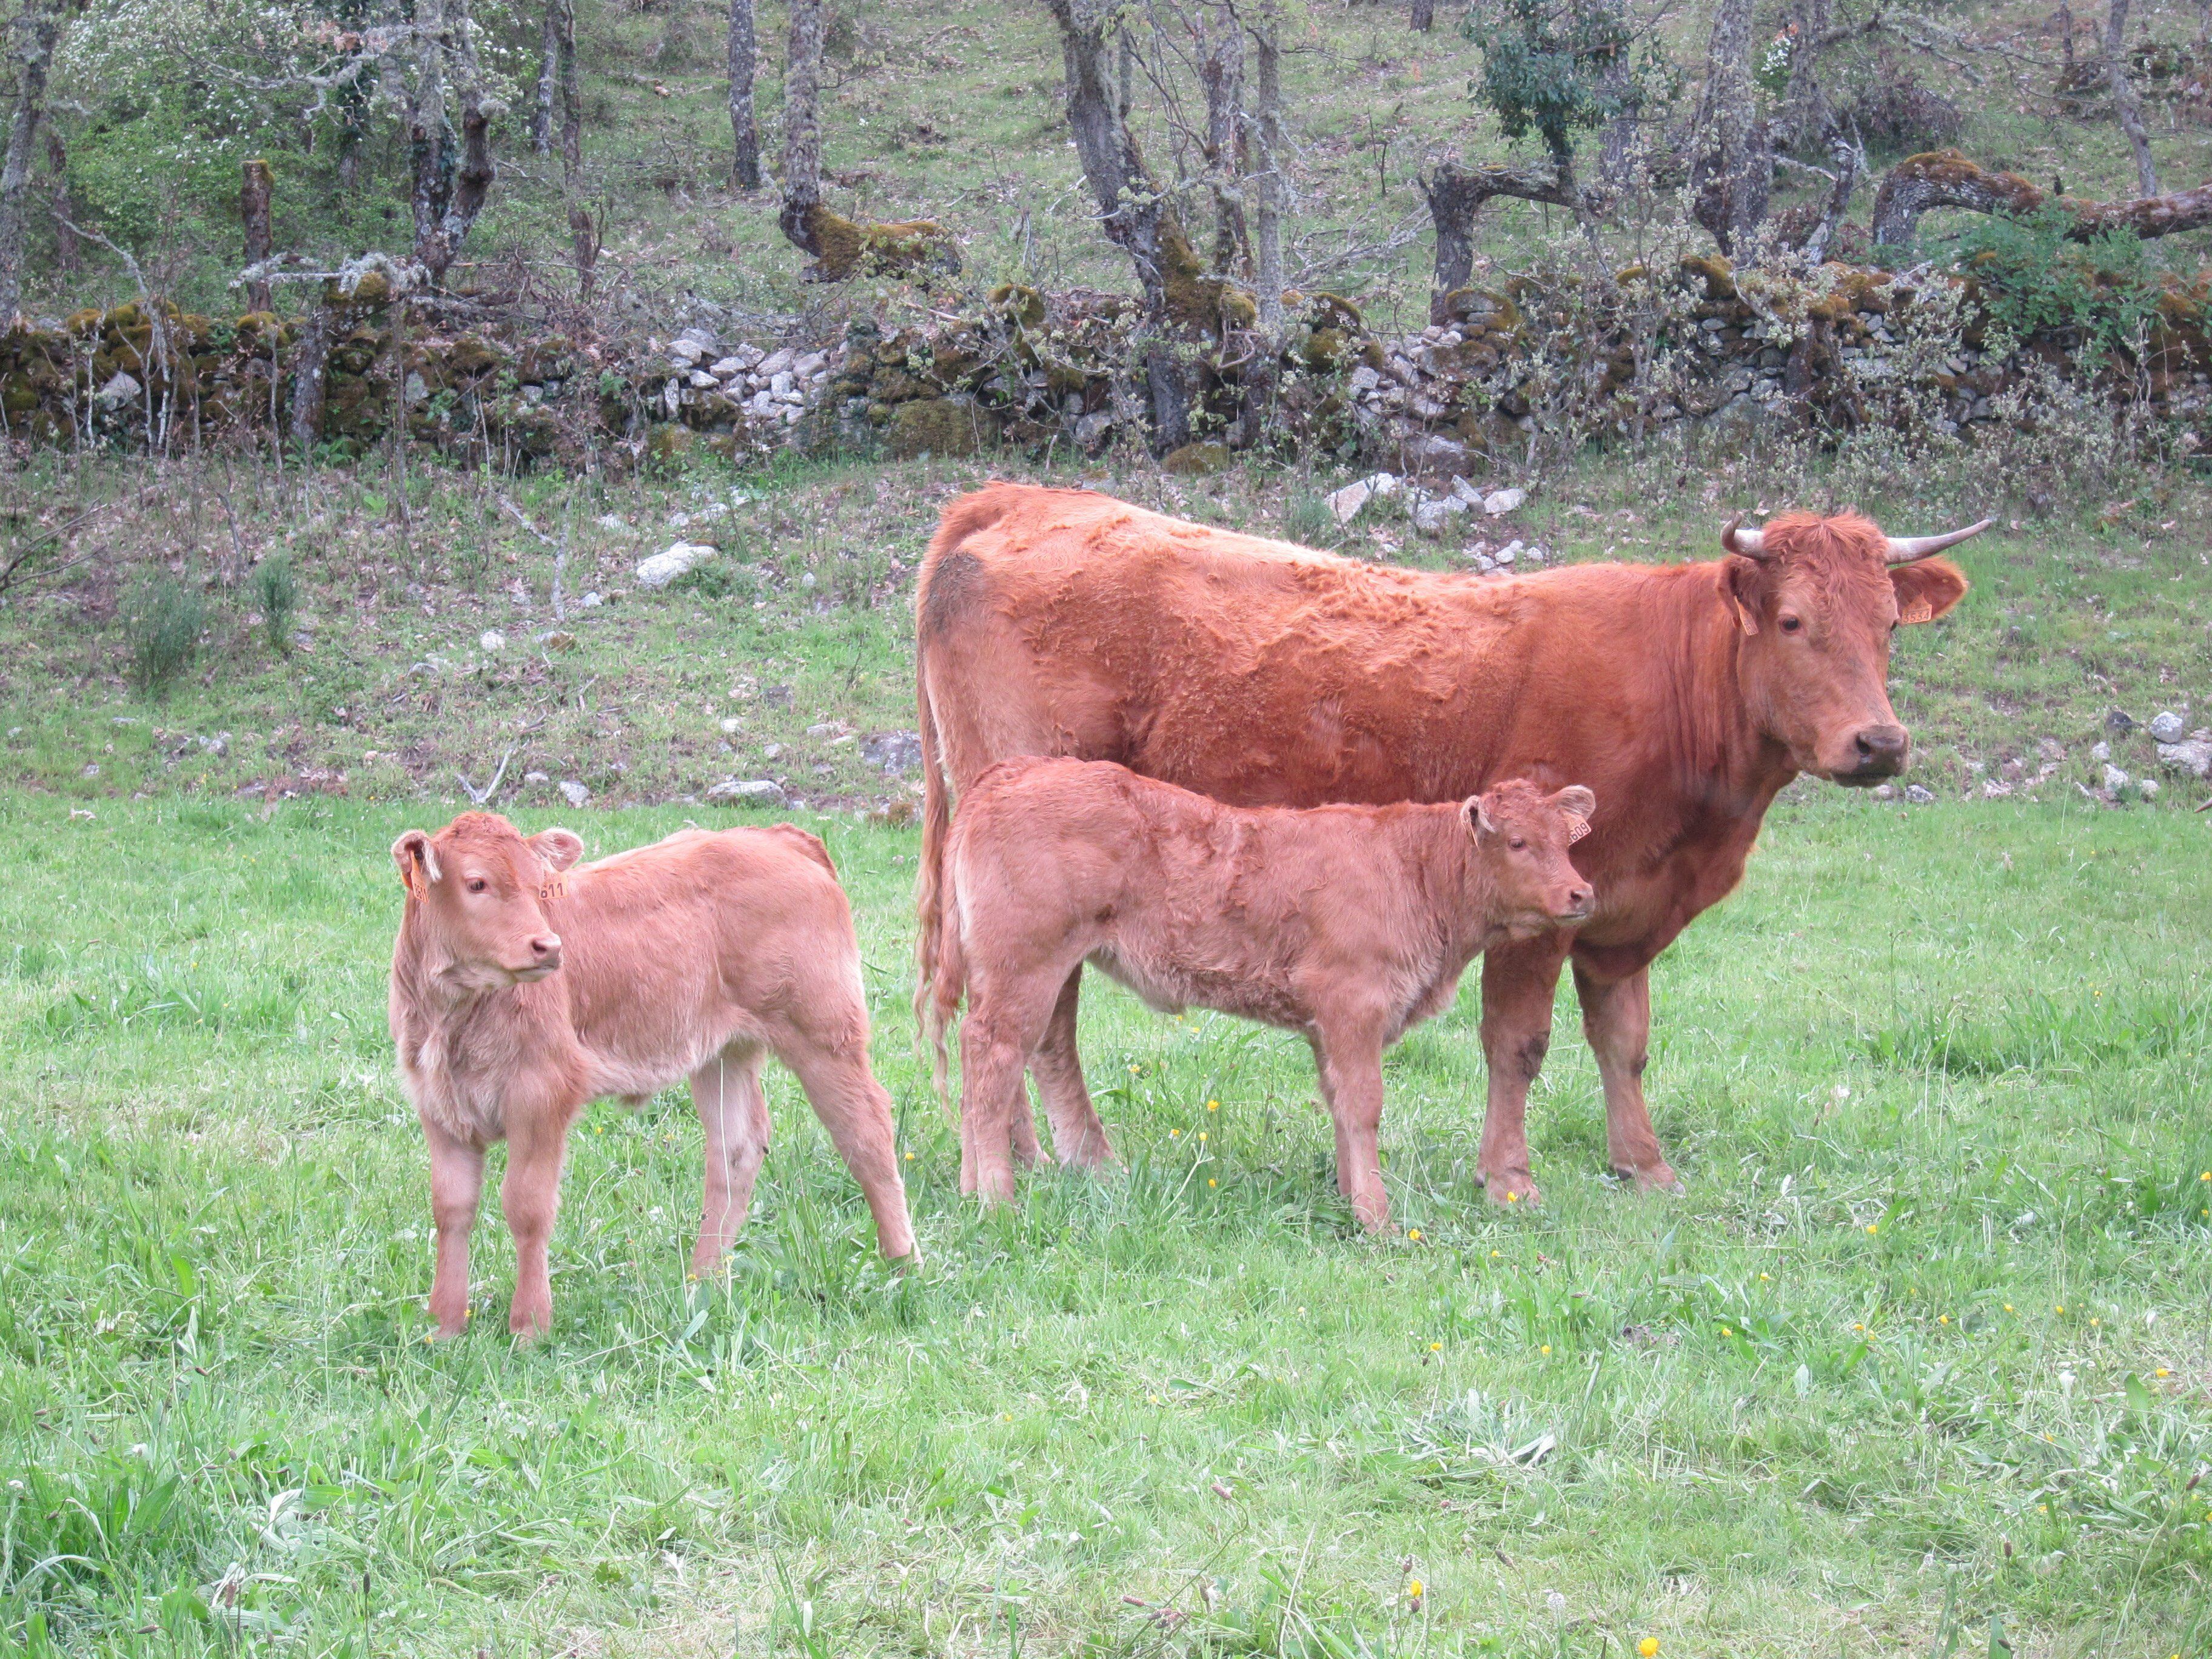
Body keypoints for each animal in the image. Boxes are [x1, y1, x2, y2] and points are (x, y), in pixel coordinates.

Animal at [389, 814, 916, 1344]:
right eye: (476, 883)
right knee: (736, 1149)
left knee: (866, 1132)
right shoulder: (437, 1107)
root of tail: (775, 836)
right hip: (722, 1053)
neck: (454, 1015)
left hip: (823, 1033)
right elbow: (451, 1208)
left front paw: (530, 1327)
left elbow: (527, 1207)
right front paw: (444, 1325)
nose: (548, 946)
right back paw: (703, 1280)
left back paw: (903, 1263)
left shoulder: (541, 1098)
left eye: (542, 888)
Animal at [924, 765, 1601, 1238]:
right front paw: (1380, 1221)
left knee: (983, 1059)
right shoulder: (1354, 1004)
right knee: (993, 1059)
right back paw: (996, 1201)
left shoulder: (1326, 1025)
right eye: (1517, 842)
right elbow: (1365, 1107)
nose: (1582, 893)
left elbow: (1339, 1106)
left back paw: (970, 1189)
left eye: (1568, 842)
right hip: (1025, 970)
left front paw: (1350, 1200)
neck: (1415, 872)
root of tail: (1014, 772)